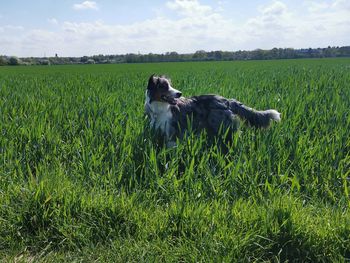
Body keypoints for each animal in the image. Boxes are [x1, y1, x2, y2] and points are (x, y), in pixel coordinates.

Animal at [144, 74, 280, 147]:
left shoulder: (173, 133)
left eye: (170, 85)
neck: (160, 107)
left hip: (223, 127)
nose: (179, 93)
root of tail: (226, 100)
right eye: (164, 86)